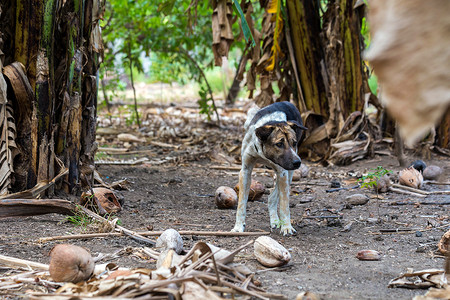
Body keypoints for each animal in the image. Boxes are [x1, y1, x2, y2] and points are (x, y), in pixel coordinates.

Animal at [232, 102, 306, 236]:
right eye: (279, 144)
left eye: (294, 143)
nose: (298, 162)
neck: (264, 154)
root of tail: (288, 102)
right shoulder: (245, 171)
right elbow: (241, 204)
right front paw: (238, 227)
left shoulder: (283, 173)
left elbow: (284, 205)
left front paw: (287, 227)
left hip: (289, 173)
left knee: (273, 196)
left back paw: (276, 220)